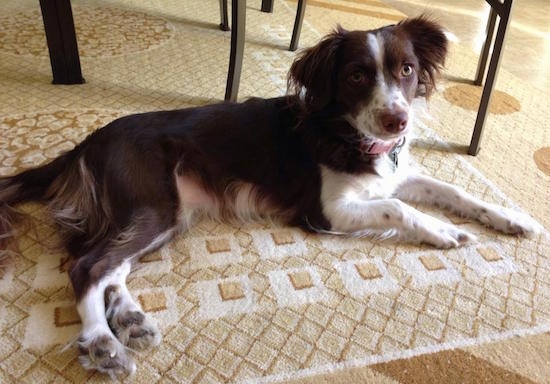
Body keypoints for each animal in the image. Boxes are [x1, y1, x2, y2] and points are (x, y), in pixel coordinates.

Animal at [0, 17, 544, 376]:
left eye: (407, 70)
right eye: (356, 75)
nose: (398, 121)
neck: (345, 131)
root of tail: (86, 143)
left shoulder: (394, 172)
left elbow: (451, 187)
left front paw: (511, 218)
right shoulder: (325, 211)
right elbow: (399, 207)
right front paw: (445, 231)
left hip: (165, 215)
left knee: (111, 266)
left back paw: (130, 321)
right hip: (156, 204)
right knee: (88, 265)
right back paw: (100, 341)